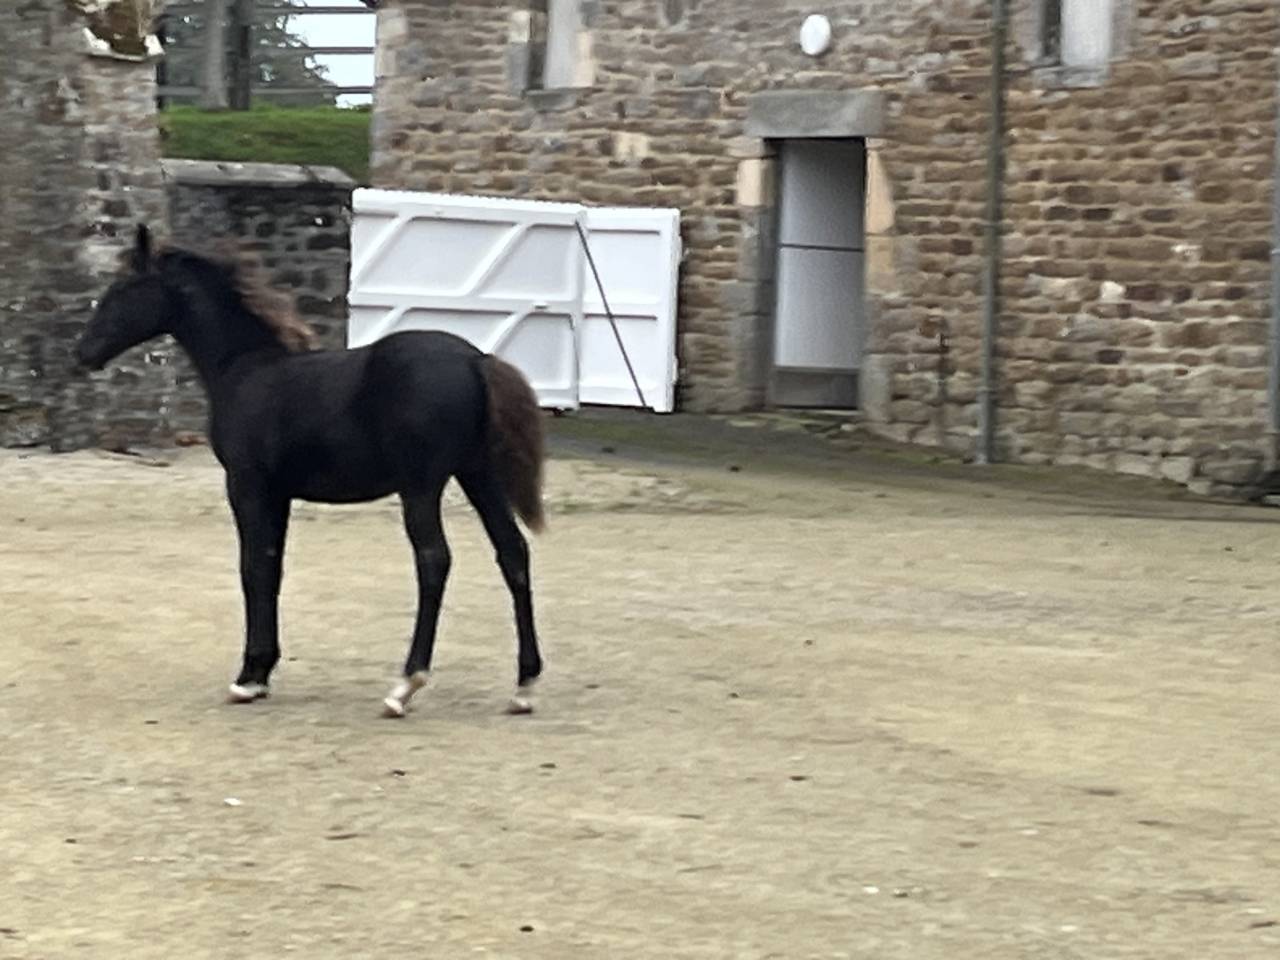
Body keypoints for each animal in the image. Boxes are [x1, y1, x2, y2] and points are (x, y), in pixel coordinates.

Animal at [75, 225, 546, 718]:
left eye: (123, 288)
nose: (82, 353)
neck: (244, 369)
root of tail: (476, 360)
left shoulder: (246, 485)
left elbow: (253, 568)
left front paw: (248, 678)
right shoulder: (278, 493)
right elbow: (272, 566)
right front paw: (262, 673)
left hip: (422, 485)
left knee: (435, 559)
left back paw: (405, 685)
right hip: (478, 475)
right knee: (513, 553)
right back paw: (524, 687)